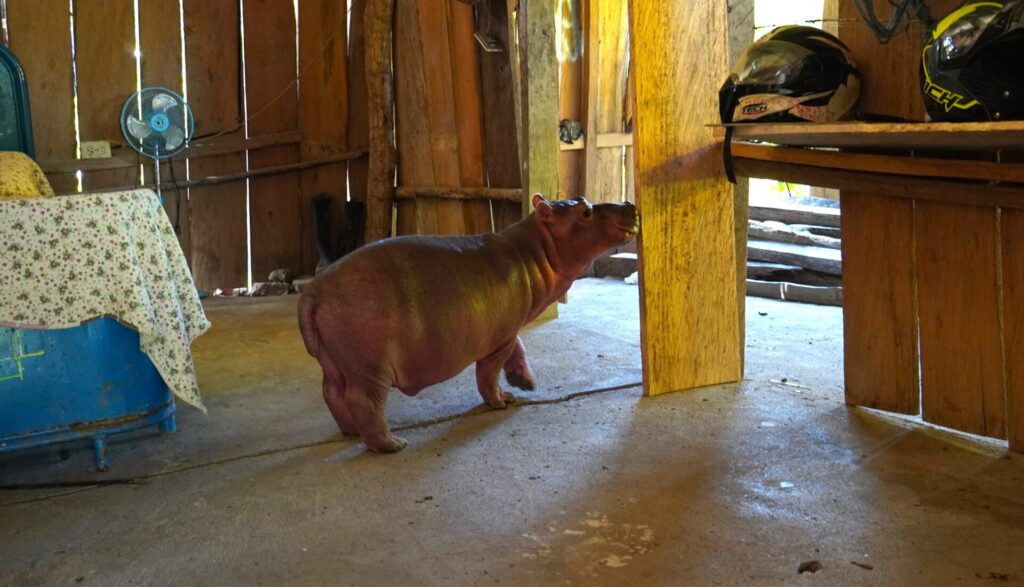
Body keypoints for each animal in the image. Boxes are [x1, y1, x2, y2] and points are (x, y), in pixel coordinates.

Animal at [294, 194, 638, 450]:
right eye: (586, 211)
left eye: (582, 199)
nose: (629, 202)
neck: (532, 250)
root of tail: (315, 291)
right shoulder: (499, 339)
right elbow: (488, 373)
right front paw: (502, 402)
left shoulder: (509, 330)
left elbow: (520, 348)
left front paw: (523, 385)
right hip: (370, 366)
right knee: (363, 400)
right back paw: (393, 444)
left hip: (334, 361)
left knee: (332, 393)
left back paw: (351, 431)